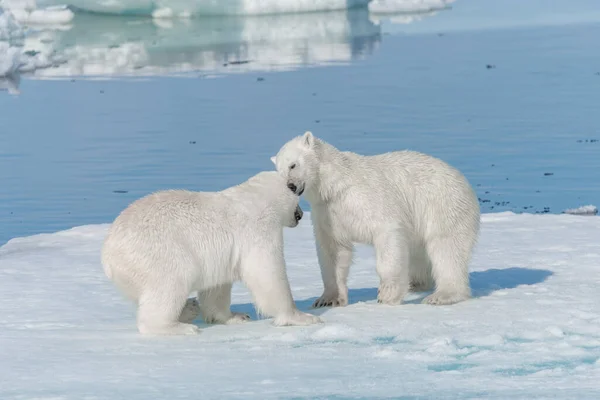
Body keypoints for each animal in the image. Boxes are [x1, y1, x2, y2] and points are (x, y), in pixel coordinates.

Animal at [101, 170, 322, 336]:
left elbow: (217, 286)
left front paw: (235, 316)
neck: (257, 197)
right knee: (172, 281)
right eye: (298, 197)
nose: (300, 215)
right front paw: (302, 317)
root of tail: (108, 254)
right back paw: (179, 326)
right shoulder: (258, 229)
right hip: (158, 252)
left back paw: (189, 308)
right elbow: (266, 272)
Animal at [272, 131, 482, 306]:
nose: (290, 186)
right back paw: (416, 282)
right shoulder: (328, 212)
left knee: (446, 248)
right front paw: (327, 299)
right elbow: (334, 251)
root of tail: (464, 181)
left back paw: (441, 295)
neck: (336, 185)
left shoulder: (368, 198)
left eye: (293, 165)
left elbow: (387, 232)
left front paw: (387, 295)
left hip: (443, 205)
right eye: (279, 173)